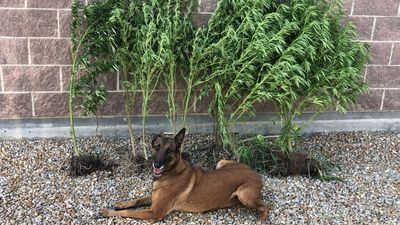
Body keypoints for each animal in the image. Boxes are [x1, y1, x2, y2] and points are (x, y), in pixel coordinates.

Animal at [99, 128, 268, 225]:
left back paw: (260, 219)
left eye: (169, 150)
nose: (156, 165)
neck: (172, 171)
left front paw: (109, 212)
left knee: (266, 206)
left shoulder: (155, 212)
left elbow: (128, 213)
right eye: (157, 147)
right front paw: (121, 203)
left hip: (244, 194)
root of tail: (255, 172)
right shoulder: (153, 197)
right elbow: (137, 200)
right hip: (221, 162)